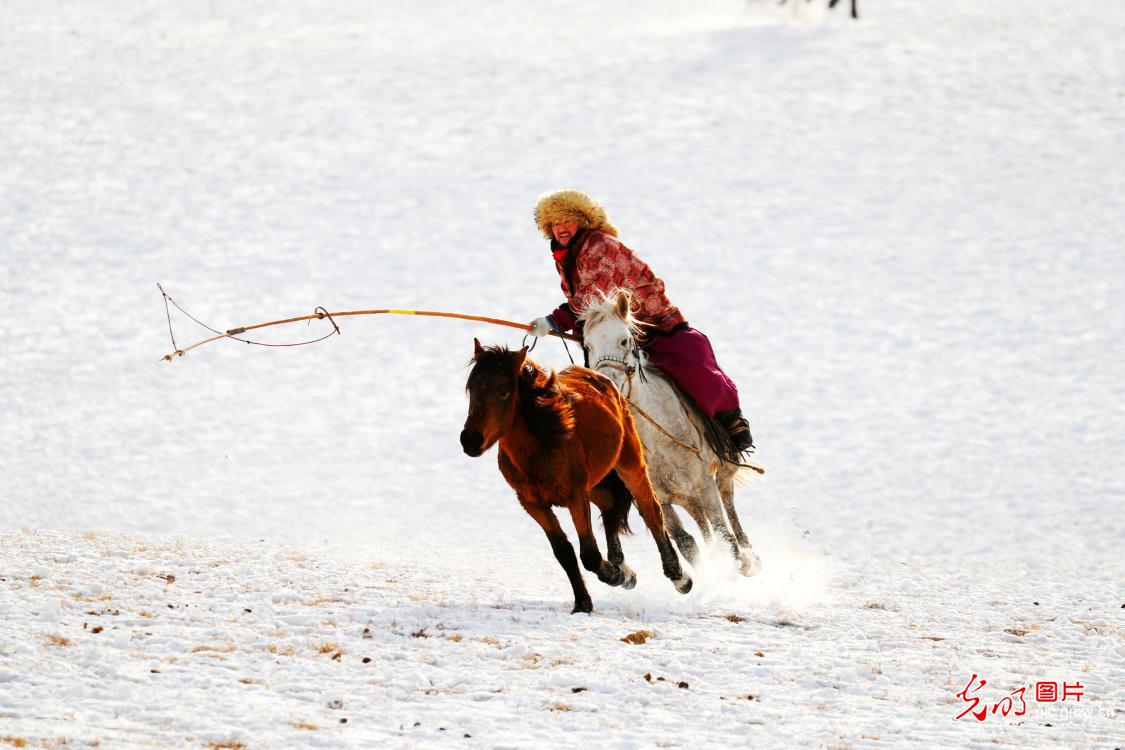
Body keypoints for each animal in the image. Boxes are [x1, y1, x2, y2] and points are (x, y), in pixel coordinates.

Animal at [460, 339, 692, 614]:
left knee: (651, 511)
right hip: (597, 485)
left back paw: (678, 576)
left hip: (630, 465)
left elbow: (589, 554)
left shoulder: (575, 496)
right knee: (610, 508)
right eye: (471, 387)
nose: (470, 440)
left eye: (504, 390)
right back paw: (624, 568)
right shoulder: (532, 503)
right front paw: (584, 601)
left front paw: (614, 575)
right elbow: (564, 551)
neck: (541, 446)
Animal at [579, 291, 763, 577]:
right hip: (686, 497)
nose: (606, 386)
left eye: (623, 340)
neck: (656, 440)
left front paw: (738, 563)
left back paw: (750, 555)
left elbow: (725, 535)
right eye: (587, 346)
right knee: (701, 522)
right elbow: (686, 543)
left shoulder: (704, 484)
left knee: (728, 504)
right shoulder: (658, 497)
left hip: (720, 474)